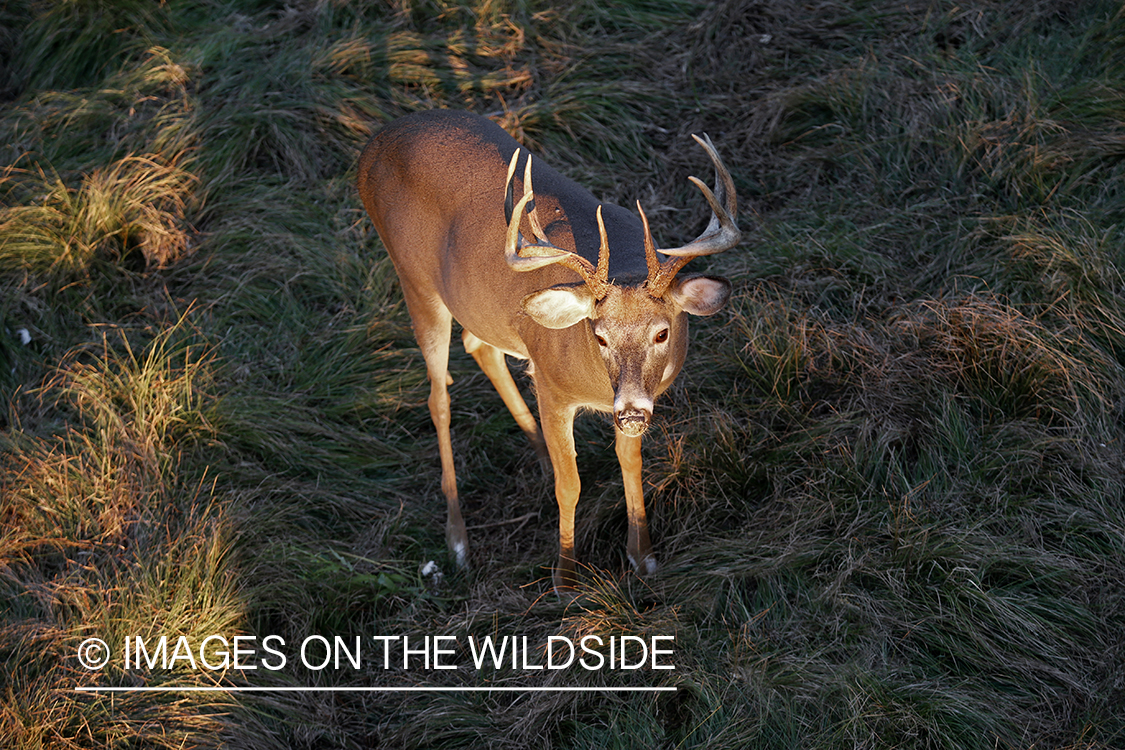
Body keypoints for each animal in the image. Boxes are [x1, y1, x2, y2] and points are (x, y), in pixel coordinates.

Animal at [357, 110, 738, 593]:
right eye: (599, 336)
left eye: (662, 333)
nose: (633, 413)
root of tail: (372, 147)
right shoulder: (555, 389)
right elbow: (569, 484)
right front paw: (566, 576)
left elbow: (631, 464)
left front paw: (643, 557)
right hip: (415, 282)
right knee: (438, 398)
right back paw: (458, 541)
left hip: (474, 301)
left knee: (478, 345)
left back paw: (537, 453)